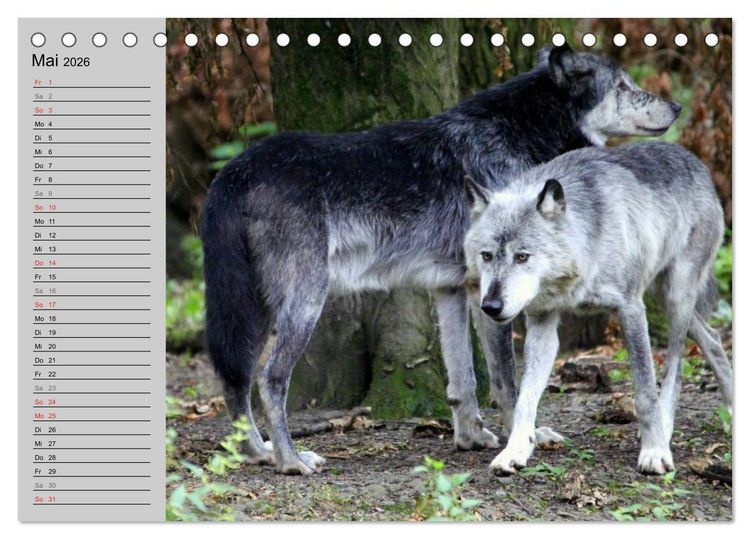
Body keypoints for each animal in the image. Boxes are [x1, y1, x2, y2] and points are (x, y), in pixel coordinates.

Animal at [201, 44, 681, 475]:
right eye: (623, 86)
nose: (676, 106)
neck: (517, 132)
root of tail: (236, 170)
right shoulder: (492, 298)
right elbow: (506, 382)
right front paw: (519, 442)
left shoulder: (453, 289)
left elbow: (462, 380)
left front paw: (470, 437)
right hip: (303, 305)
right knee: (269, 380)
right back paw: (290, 461)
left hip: (254, 309)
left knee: (235, 378)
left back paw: (258, 452)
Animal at [463, 141, 732, 475]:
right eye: (486, 256)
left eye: (522, 257)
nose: (491, 306)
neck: (588, 247)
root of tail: (690, 157)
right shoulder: (542, 323)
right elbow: (525, 397)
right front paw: (515, 451)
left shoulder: (630, 309)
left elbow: (645, 393)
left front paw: (655, 451)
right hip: (663, 297)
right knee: (712, 338)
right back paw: (732, 410)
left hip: (676, 297)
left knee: (676, 369)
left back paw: (666, 431)